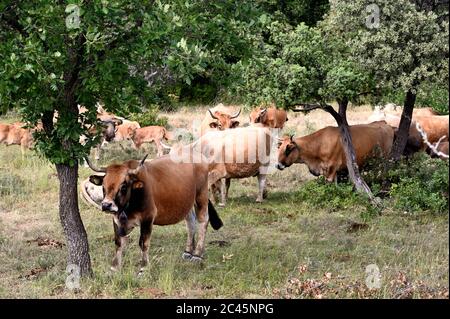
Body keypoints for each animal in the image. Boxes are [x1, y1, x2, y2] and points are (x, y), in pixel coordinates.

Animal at [85, 155, 222, 272]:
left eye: (123, 186)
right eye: (103, 186)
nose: (106, 205)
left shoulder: (147, 218)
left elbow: (143, 243)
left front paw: (143, 268)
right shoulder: (117, 219)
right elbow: (118, 242)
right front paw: (114, 268)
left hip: (201, 196)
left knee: (203, 220)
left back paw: (197, 254)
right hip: (186, 202)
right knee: (190, 222)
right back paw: (188, 251)